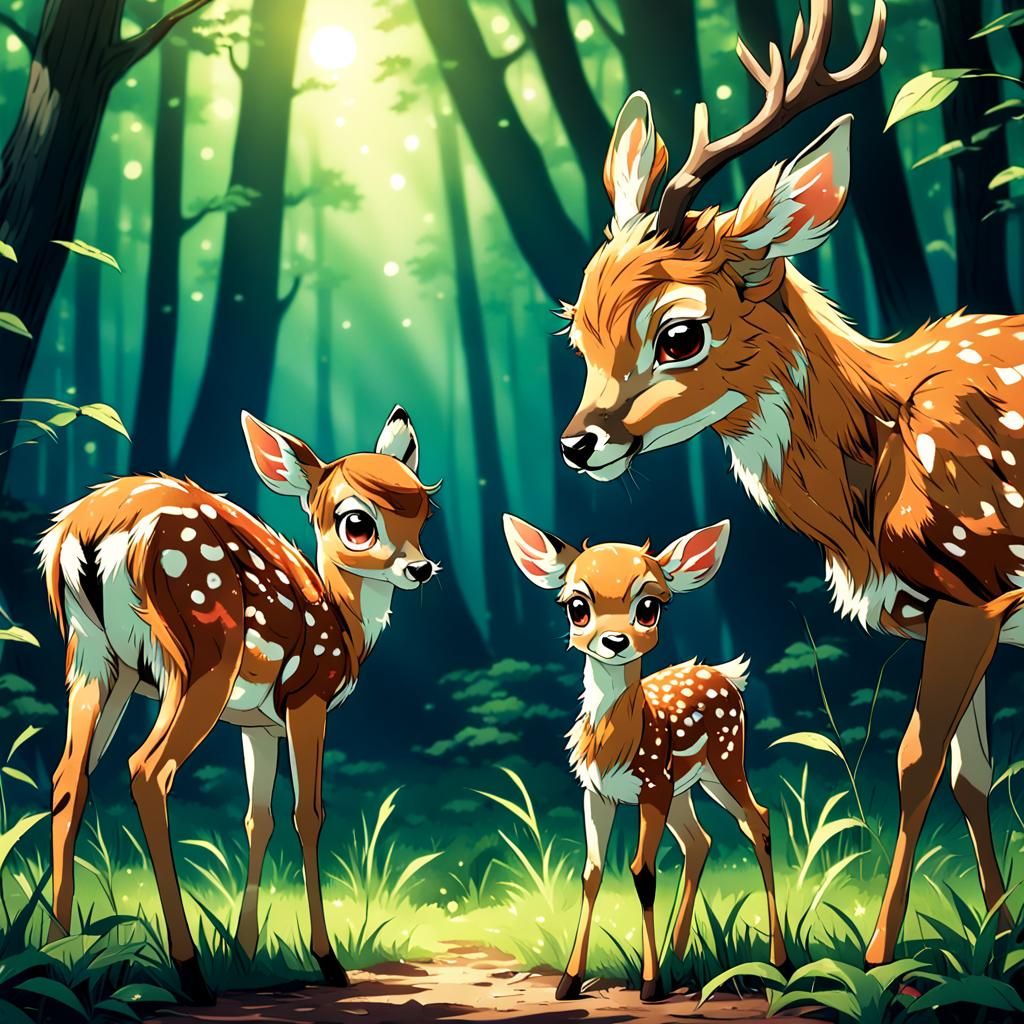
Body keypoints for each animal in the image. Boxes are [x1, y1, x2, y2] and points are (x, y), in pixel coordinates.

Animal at [39, 406, 439, 1003]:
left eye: (425, 511)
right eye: (357, 522)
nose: (421, 568)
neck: (344, 628)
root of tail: (87, 530)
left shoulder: (257, 725)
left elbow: (258, 817)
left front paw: (246, 953)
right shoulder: (307, 695)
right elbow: (308, 814)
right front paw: (328, 961)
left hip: (96, 659)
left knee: (70, 777)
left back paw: (55, 956)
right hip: (201, 653)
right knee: (148, 769)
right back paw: (189, 971)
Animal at [504, 515, 787, 1001]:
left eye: (649, 607)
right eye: (576, 606)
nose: (615, 640)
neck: (617, 743)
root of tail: (727, 675)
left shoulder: (651, 784)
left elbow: (643, 871)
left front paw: (651, 985)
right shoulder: (596, 792)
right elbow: (592, 872)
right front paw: (569, 981)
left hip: (725, 759)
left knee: (758, 819)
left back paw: (779, 962)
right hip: (686, 786)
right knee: (700, 839)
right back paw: (680, 950)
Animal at [554, 0, 1024, 967]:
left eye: (680, 333)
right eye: (576, 326)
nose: (578, 445)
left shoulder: (977, 585)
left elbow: (914, 763)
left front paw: (880, 957)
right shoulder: (960, 608)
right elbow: (972, 774)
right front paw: (998, 940)